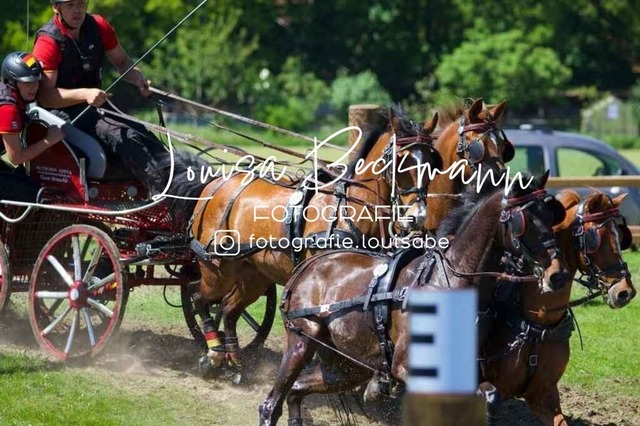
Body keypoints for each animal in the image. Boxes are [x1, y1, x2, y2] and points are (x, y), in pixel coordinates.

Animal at [164, 106, 444, 371]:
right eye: (401, 161)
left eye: (432, 162)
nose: (417, 216)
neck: (350, 209)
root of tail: (213, 184)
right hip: (217, 269)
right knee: (200, 298)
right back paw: (213, 355)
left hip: (253, 274)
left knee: (229, 309)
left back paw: (235, 362)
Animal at [259, 172, 572, 426]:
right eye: (523, 220)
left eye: (551, 216)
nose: (557, 275)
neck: (449, 282)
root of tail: (307, 266)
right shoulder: (405, 367)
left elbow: (490, 395)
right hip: (302, 340)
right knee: (271, 404)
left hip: (345, 367)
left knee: (296, 390)